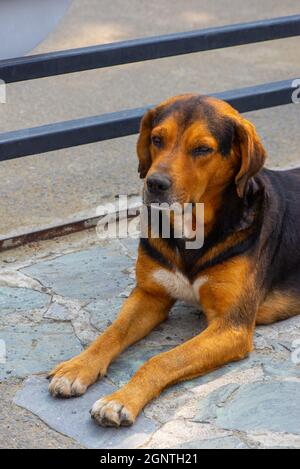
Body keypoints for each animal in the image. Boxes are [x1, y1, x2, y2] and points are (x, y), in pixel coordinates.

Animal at [48, 94, 298, 424]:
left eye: (202, 149)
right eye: (157, 139)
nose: (155, 184)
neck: (191, 230)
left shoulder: (231, 326)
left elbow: (164, 359)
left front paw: (121, 398)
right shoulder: (150, 295)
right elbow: (111, 333)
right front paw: (78, 366)